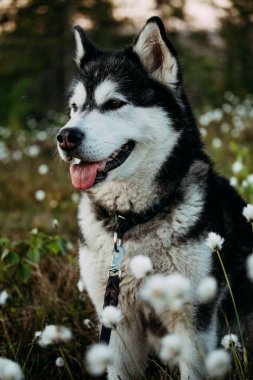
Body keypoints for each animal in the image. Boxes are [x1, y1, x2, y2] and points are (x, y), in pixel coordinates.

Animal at [57, 16, 253, 378]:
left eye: (114, 104)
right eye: (74, 108)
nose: (65, 137)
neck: (131, 221)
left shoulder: (194, 323)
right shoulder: (116, 319)